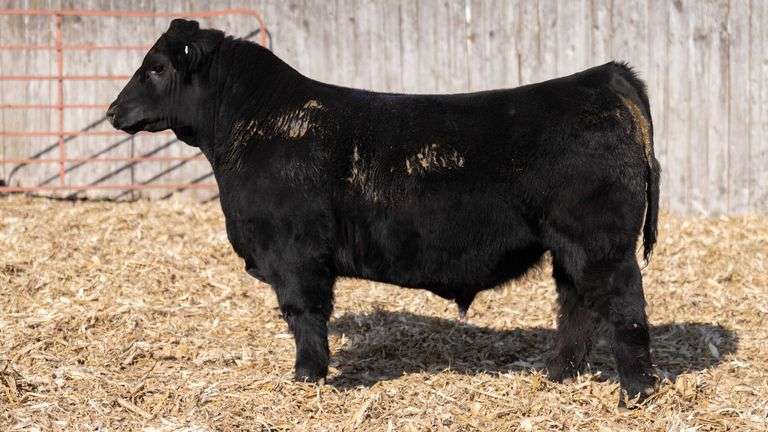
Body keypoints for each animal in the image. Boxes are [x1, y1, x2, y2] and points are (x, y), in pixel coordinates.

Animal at [107, 19, 661, 406]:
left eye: (157, 67)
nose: (112, 111)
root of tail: (604, 78)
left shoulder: (293, 252)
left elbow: (304, 315)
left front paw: (307, 379)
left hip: (602, 245)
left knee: (625, 309)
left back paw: (635, 393)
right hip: (570, 248)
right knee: (576, 308)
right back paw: (556, 375)